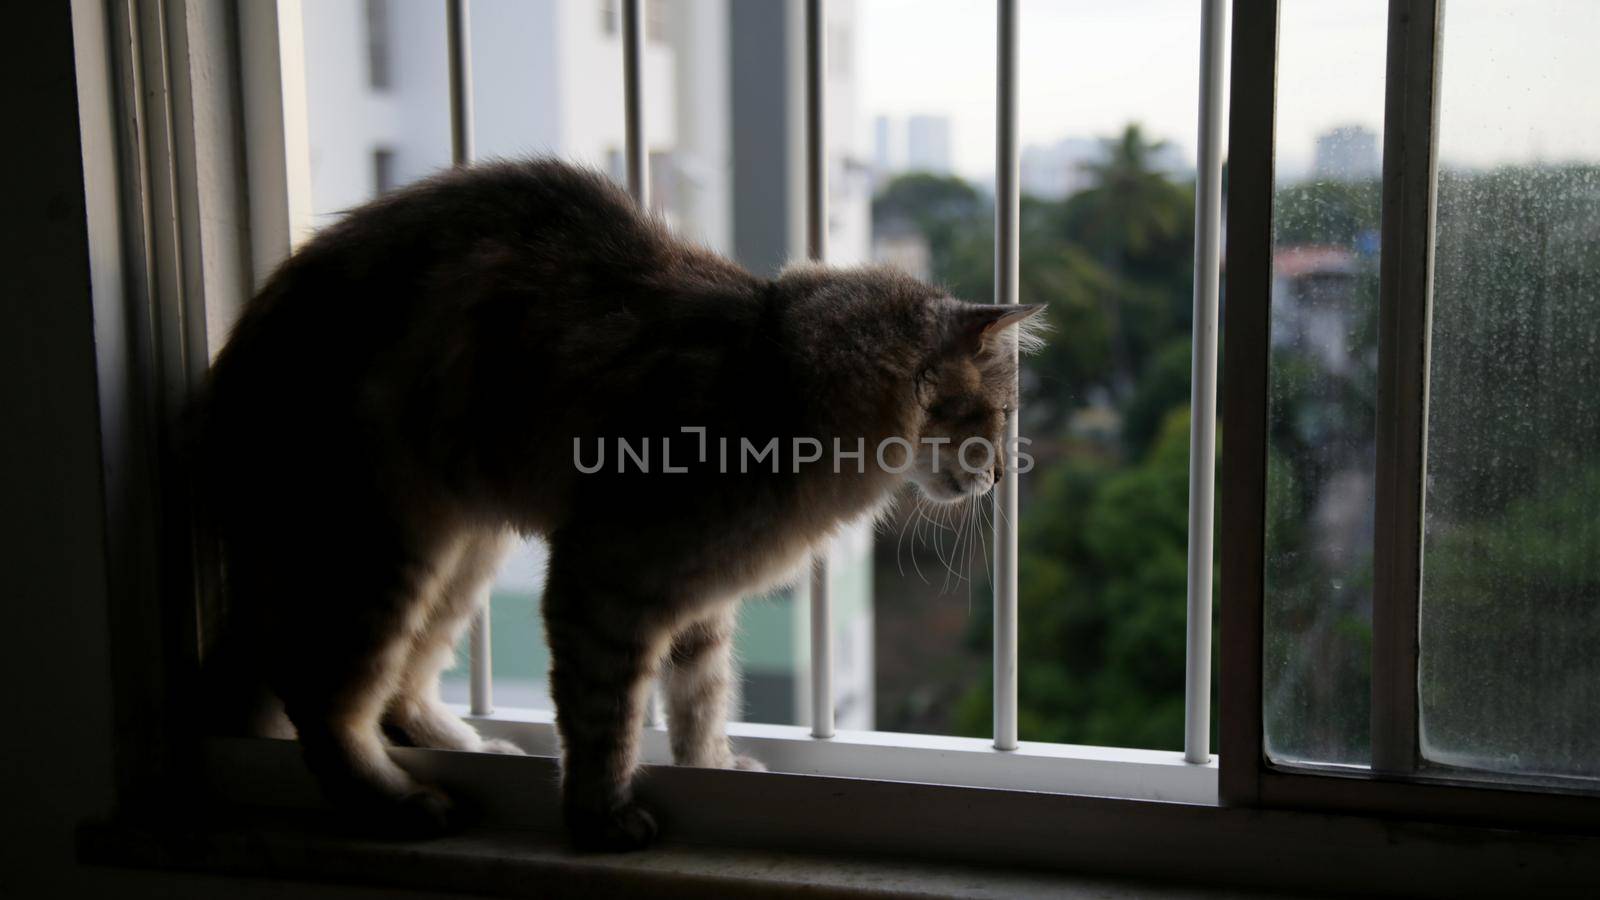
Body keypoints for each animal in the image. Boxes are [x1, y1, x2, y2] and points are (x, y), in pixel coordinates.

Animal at [193, 157, 1043, 851]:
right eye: (997, 419)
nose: (1005, 475)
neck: (779, 378)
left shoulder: (699, 600)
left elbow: (700, 703)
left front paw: (713, 767)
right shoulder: (602, 578)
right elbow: (606, 718)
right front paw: (599, 817)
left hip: (463, 551)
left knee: (402, 686)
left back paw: (469, 747)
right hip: (385, 550)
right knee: (326, 703)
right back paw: (395, 803)